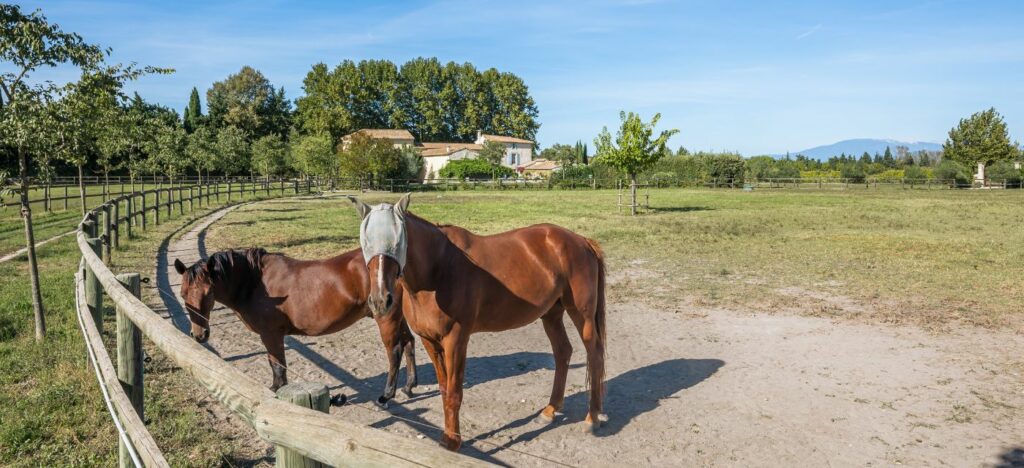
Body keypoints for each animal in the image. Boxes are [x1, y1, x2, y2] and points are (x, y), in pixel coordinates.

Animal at [173, 247, 418, 405]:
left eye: (208, 293)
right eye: (183, 294)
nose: (199, 335)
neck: (255, 283)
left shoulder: (271, 334)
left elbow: (278, 366)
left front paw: (276, 390)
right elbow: (275, 364)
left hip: (386, 318)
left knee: (395, 351)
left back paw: (387, 395)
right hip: (399, 317)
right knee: (409, 343)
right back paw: (409, 387)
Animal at [348, 194, 606, 451]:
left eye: (398, 240)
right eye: (365, 242)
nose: (380, 300)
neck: (438, 271)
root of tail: (581, 241)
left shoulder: (456, 340)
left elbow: (454, 393)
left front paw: (452, 442)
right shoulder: (429, 340)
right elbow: (444, 389)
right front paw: (447, 436)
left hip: (581, 314)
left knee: (594, 353)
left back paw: (592, 418)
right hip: (551, 314)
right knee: (563, 352)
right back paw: (550, 410)